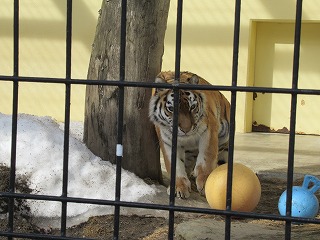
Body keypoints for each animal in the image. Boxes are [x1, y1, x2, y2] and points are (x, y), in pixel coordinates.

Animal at [149, 71, 229, 199]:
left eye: (192, 107)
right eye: (171, 109)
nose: (186, 130)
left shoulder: (208, 130)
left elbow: (206, 159)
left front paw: (205, 183)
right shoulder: (167, 141)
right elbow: (174, 164)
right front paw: (179, 187)